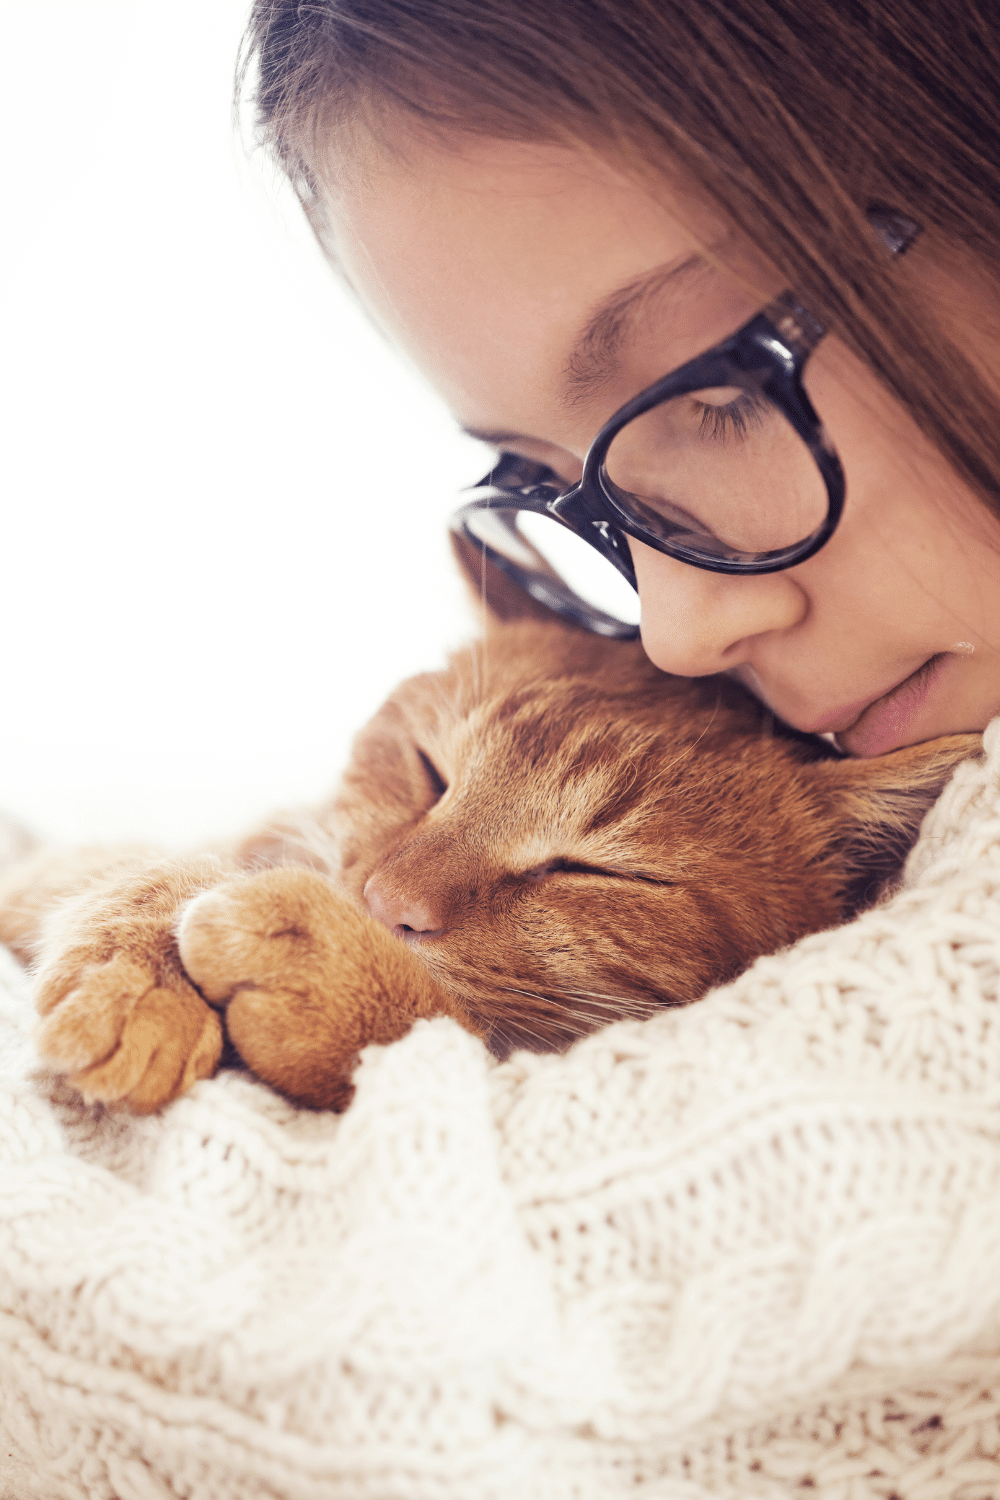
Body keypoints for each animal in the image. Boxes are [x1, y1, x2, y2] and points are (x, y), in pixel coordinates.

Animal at [0, 555, 971, 1116]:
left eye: (593, 871)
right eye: (431, 769)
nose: (382, 903)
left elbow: (443, 1040)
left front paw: (336, 974)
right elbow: (146, 871)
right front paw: (139, 975)